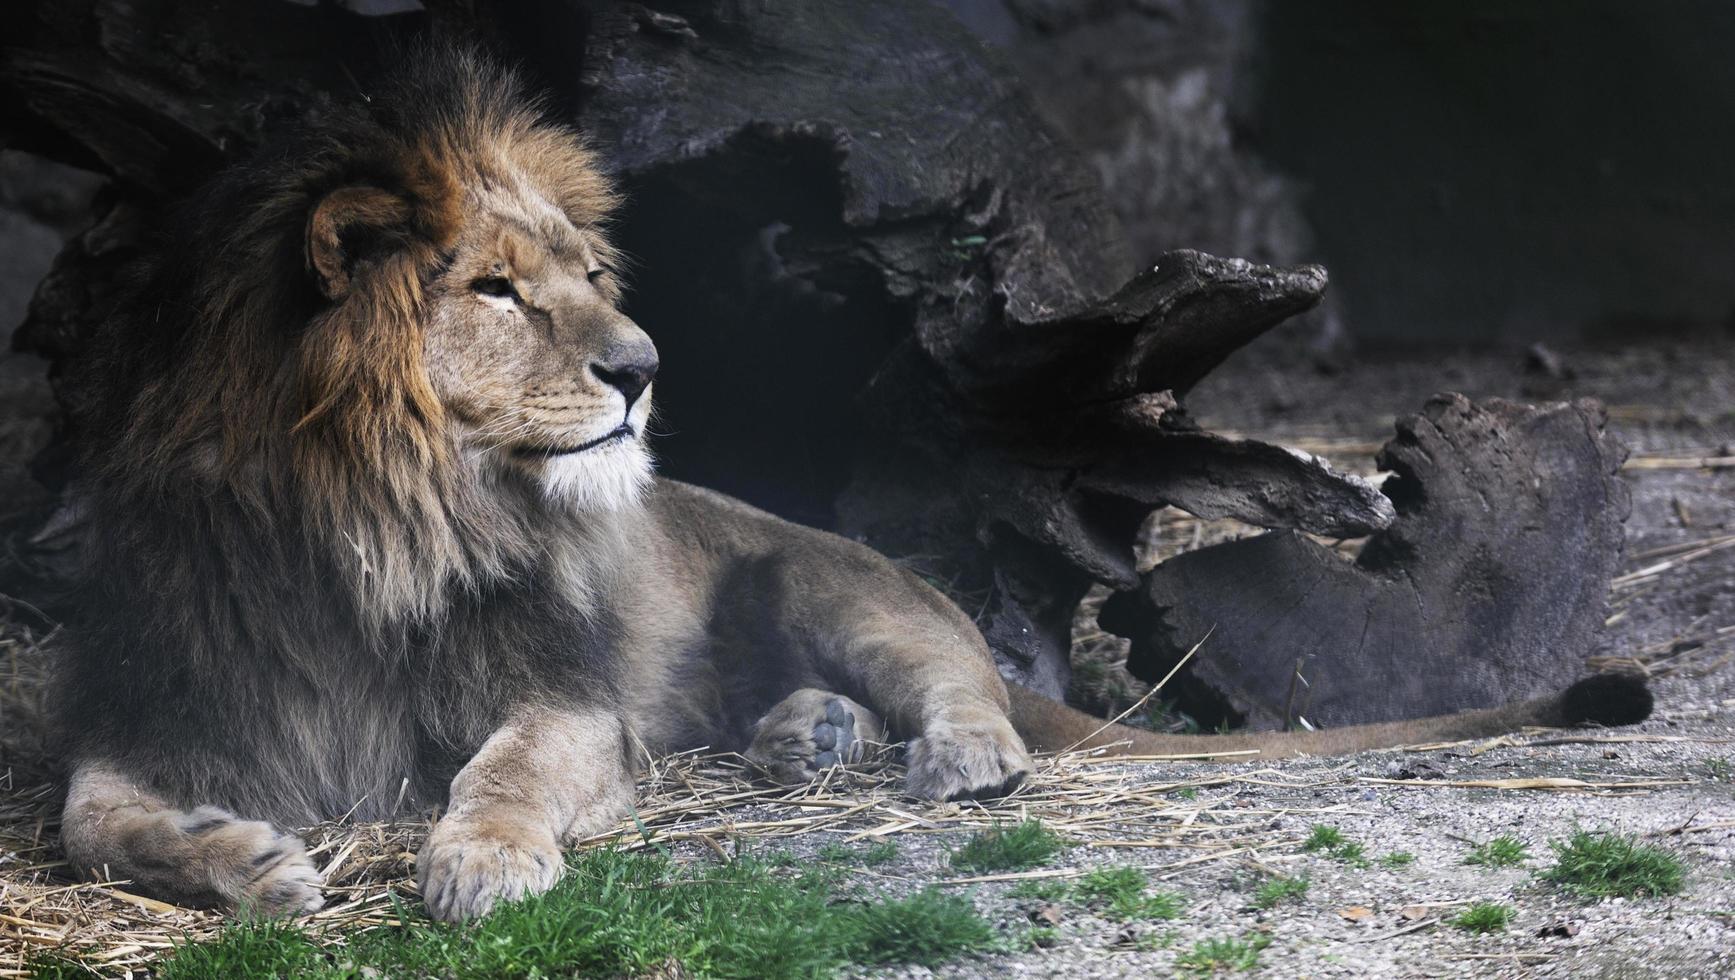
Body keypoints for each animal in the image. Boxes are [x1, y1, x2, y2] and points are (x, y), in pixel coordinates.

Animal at [54, 42, 1651, 922]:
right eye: (495, 290)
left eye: (585, 279)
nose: (643, 365)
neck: (379, 519)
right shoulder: (177, 697)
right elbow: (89, 817)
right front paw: (254, 862)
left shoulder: (562, 698)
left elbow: (502, 770)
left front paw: (482, 862)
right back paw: (800, 737)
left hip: (841, 583)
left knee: (958, 674)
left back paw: (944, 751)